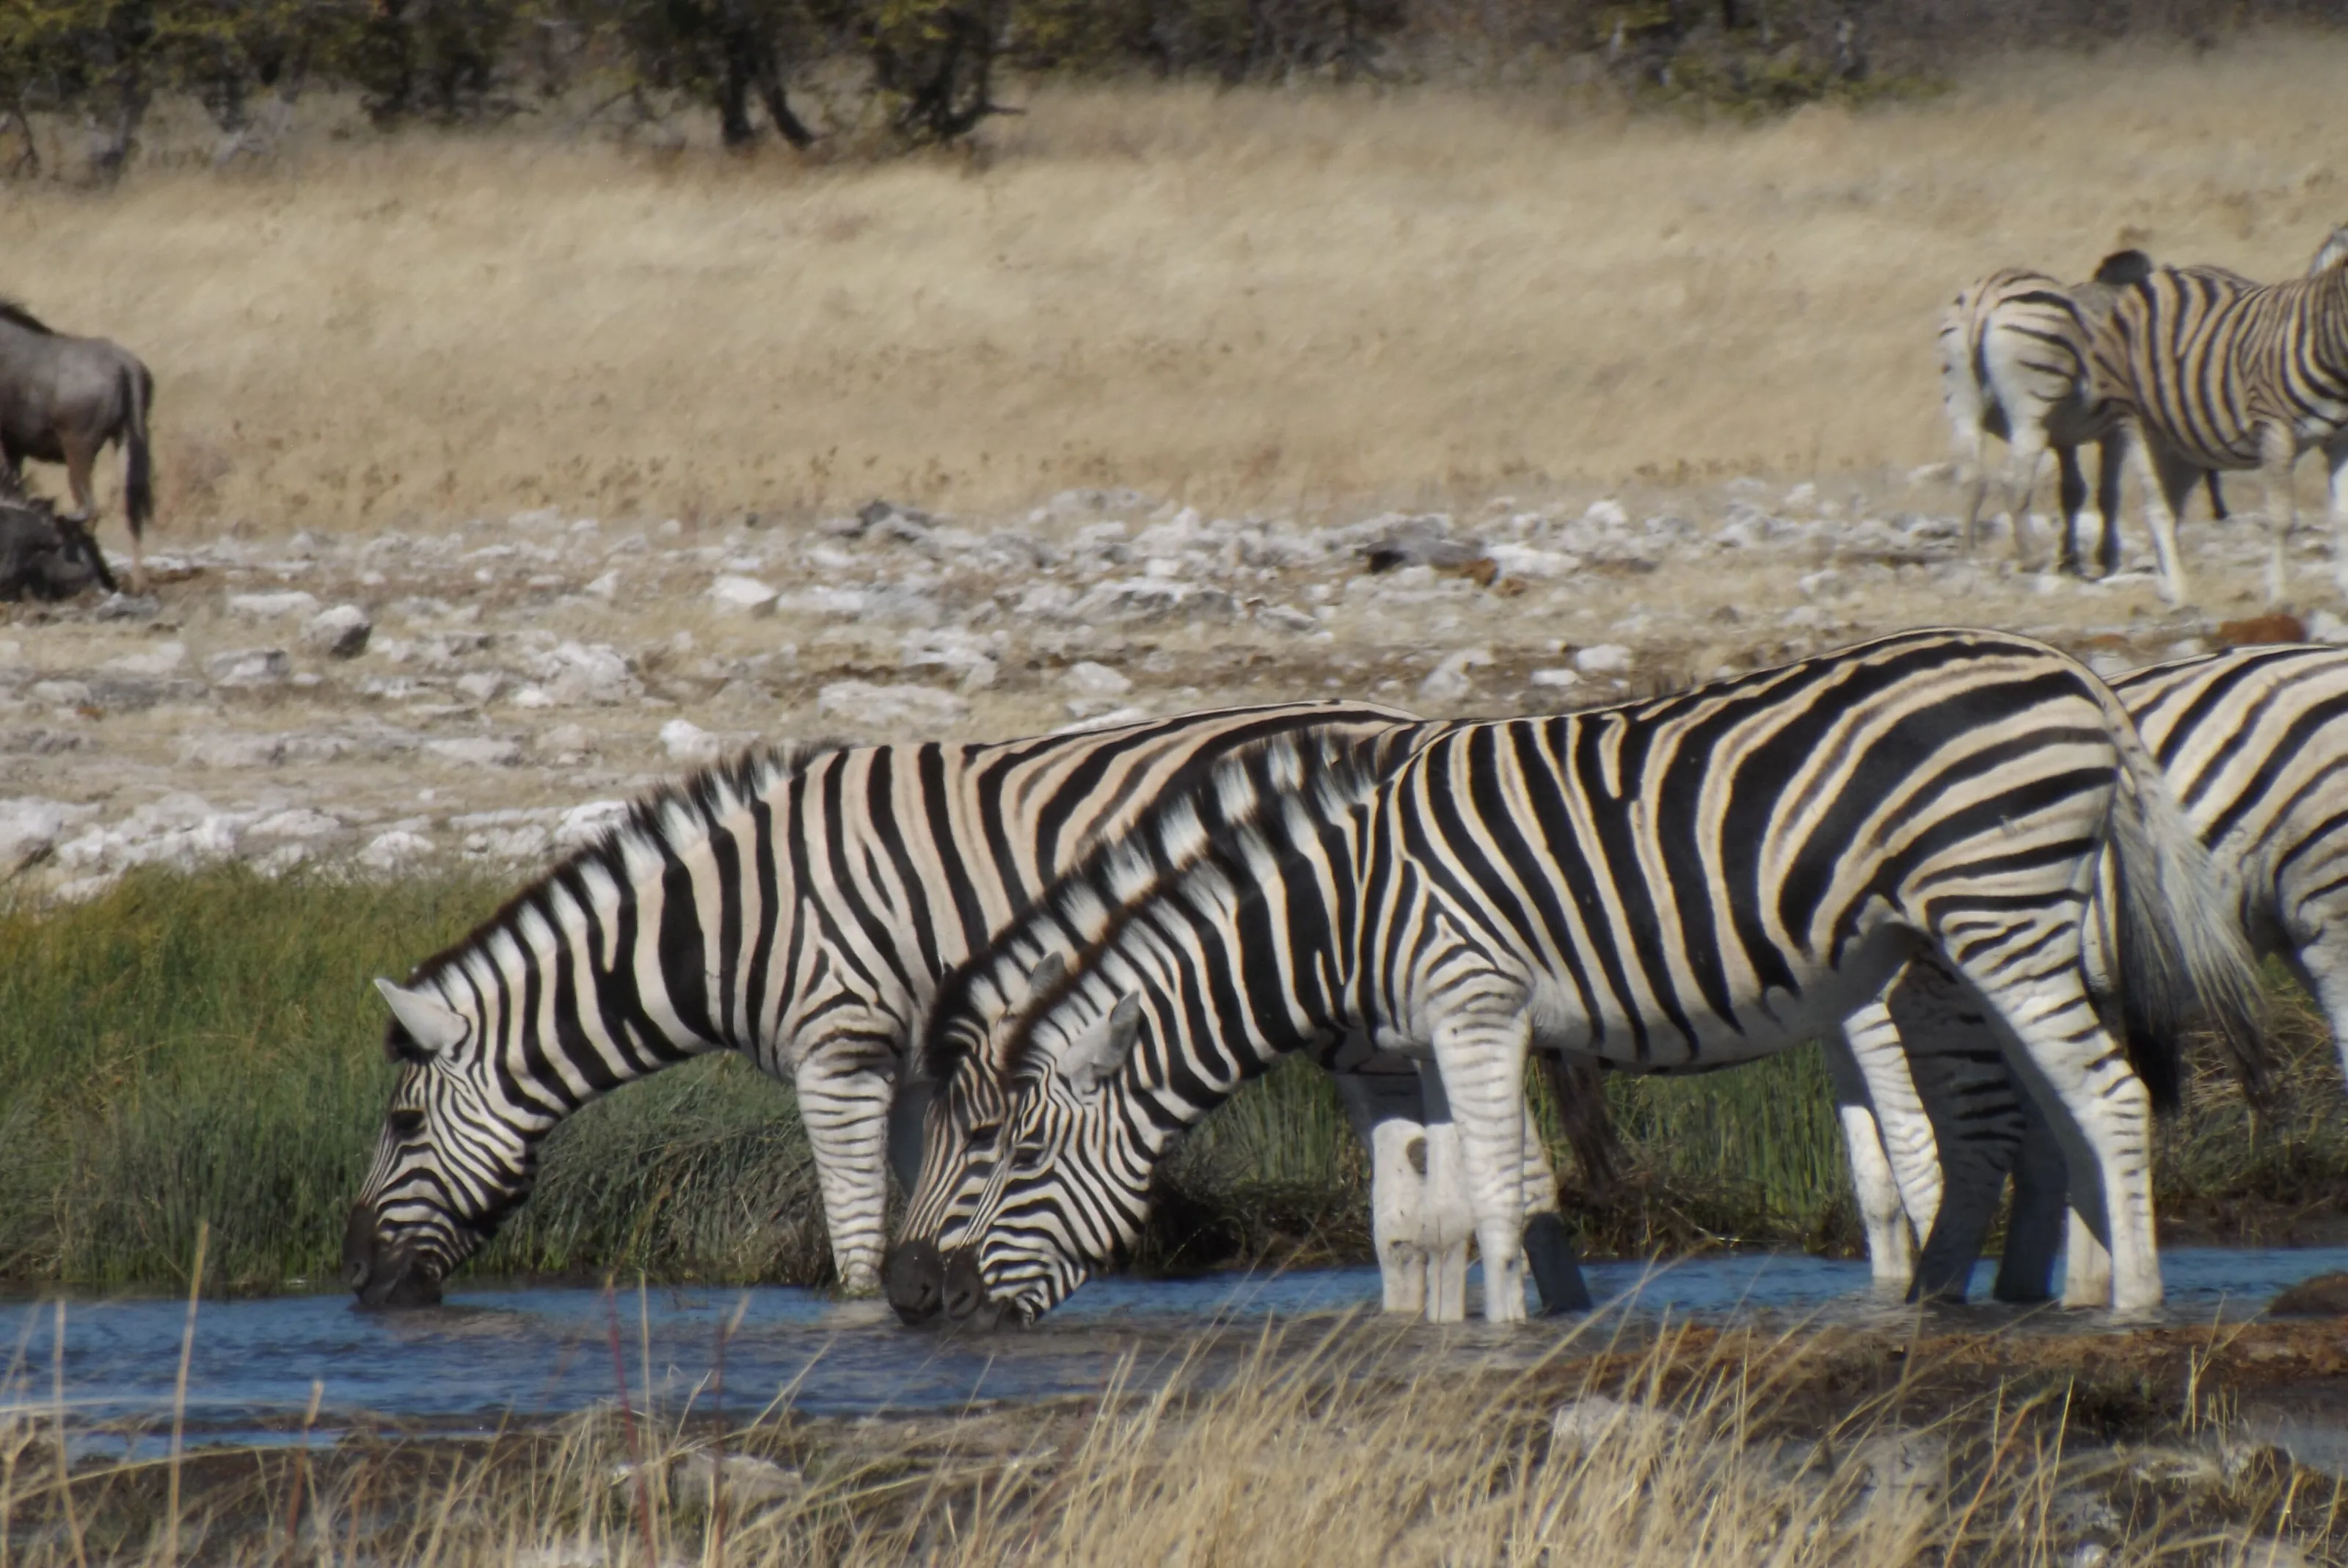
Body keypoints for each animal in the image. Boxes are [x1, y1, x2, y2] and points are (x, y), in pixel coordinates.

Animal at [341, 700, 1435, 1308]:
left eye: (403, 1122)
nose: (354, 1278)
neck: (737, 915)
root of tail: (1394, 722)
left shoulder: (840, 1054)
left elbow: (859, 1231)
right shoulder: (915, 1072)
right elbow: (928, 1200)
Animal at [890, 629, 2265, 1325]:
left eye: (1011, 1153)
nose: (917, 1300)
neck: (1340, 899)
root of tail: (2076, 672)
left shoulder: (1476, 1003)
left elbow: (1499, 1198)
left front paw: (1503, 1341)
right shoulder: (1427, 1036)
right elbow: (1440, 1210)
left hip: (1999, 911)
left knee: (2106, 1098)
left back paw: (2133, 1311)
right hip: (1972, 936)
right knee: (2046, 1114)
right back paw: (2033, 1296)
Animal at [2092, 227, 2348, 607]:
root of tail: (2162, 275)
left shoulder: (2341, 439)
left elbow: (2343, 516)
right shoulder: (2275, 429)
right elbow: (2281, 519)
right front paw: (2278, 595)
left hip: (2184, 442)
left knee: (2172, 506)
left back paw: (2167, 586)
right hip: (2134, 419)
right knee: (2157, 508)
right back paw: (2179, 594)